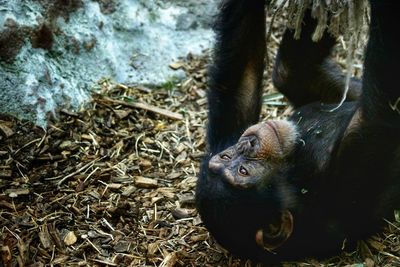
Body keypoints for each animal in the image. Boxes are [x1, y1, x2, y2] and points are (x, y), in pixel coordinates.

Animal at [196, 0, 400, 264]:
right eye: (244, 171)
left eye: (228, 158)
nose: (248, 144)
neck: (293, 169)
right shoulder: (347, 176)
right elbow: (379, 108)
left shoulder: (222, 138)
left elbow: (240, 77)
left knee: (290, 71)